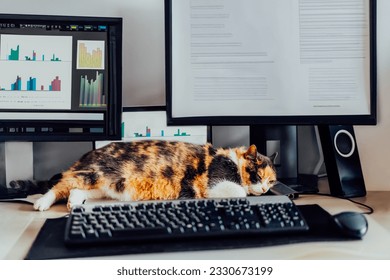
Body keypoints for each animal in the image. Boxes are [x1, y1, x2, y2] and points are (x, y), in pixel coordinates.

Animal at [24, 141, 276, 211]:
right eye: (257, 174)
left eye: (271, 180)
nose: (265, 189)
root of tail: (89, 153)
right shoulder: (216, 183)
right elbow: (239, 190)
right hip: (94, 173)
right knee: (61, 184)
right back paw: (42, 203)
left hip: (109, 187)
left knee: (77, 190)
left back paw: (73, 204)